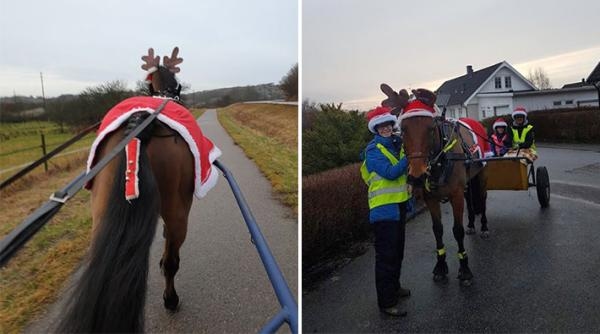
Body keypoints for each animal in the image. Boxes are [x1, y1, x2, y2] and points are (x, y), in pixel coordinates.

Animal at [382, 85, 490, 286]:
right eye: (403, 129)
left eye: (431, 128)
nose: (417, 176)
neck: (441, 159)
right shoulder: (430, 198)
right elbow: (437, 230)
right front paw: (440, 265)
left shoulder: (455, 195)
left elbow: (457, 230)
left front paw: (464, 268)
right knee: (470, 199)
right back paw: (472, 223)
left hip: (482, 174)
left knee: (483, 199)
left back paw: (484, 227)